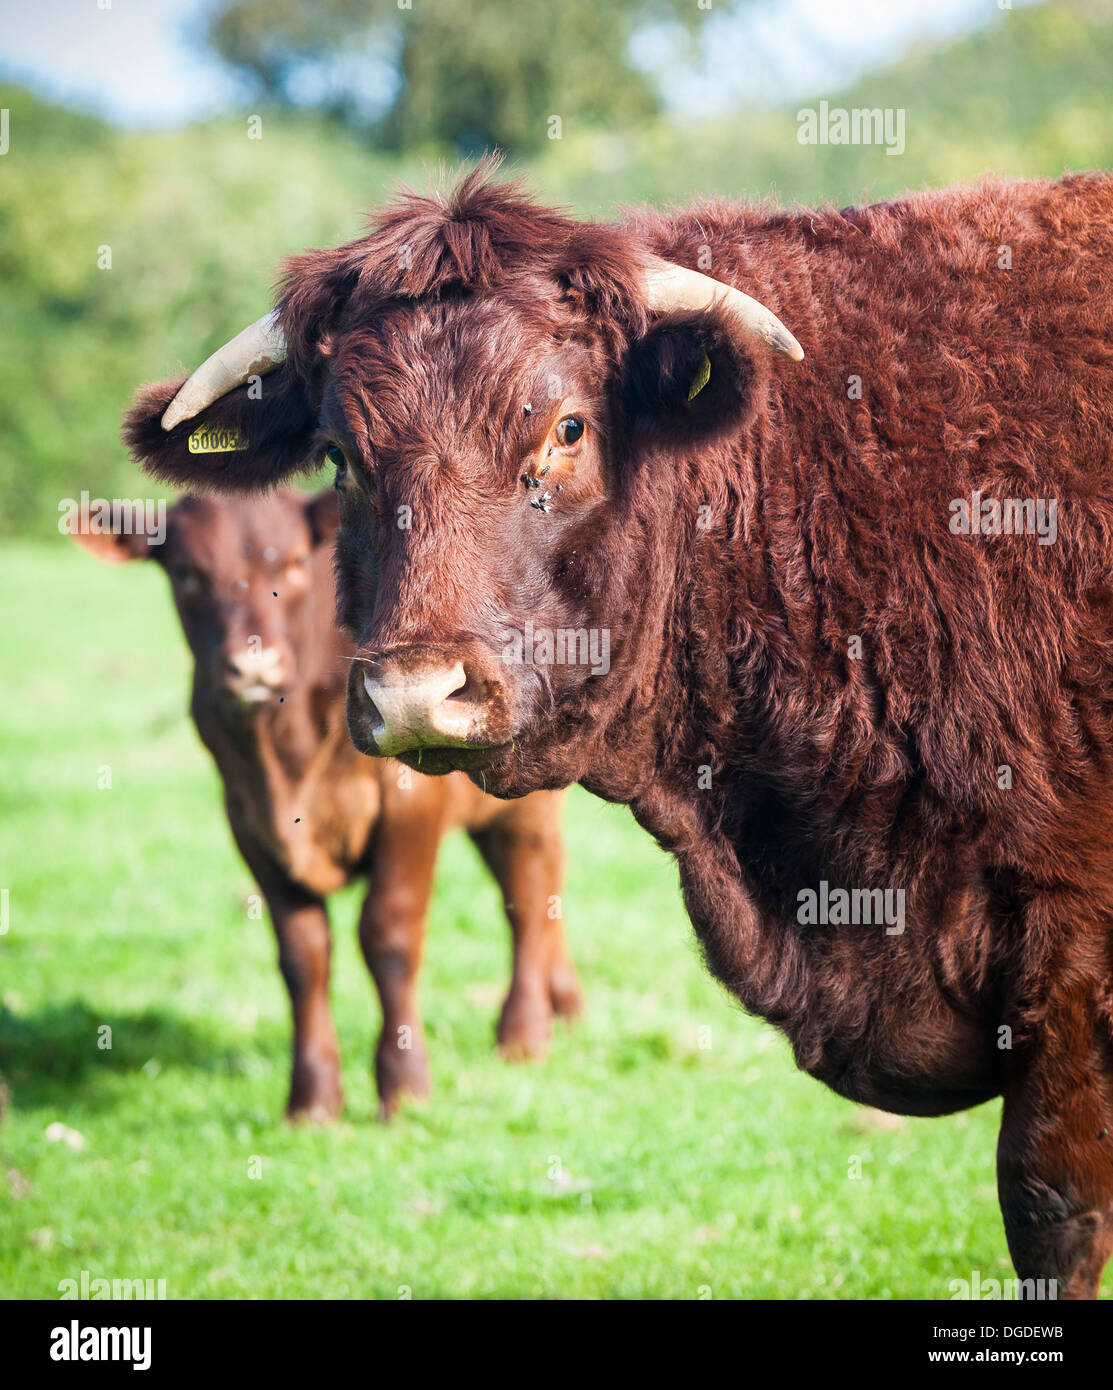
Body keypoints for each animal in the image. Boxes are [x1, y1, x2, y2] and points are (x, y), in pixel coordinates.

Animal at [76, 489, 580, 1117]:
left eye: (295, 564)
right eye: (187, 572)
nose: (254, 666)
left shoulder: (411, 803)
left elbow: (388, 935)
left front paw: (404, 1086)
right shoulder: (246, 817)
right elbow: (303, 953)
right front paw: (313, 1099)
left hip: (524, 800)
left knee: (531, 890)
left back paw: (524, 1032)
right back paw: (564, 1000)